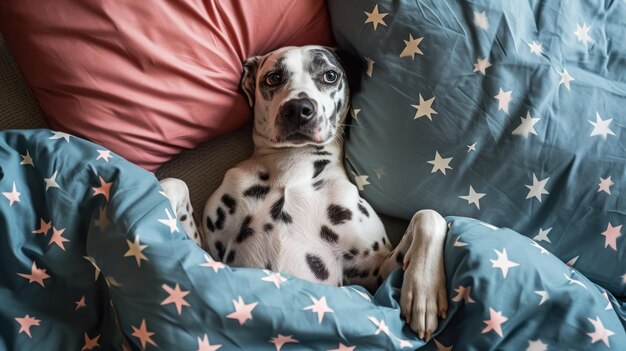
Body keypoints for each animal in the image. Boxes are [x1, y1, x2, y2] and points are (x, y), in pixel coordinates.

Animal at [158, 45, 446, 340]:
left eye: (330, 75)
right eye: (273, 77)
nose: (298, 109)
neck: (293, 170)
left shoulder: (374, 273)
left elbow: (429, 216)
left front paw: (423, 294)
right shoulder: (211, 255)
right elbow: (173, 183)